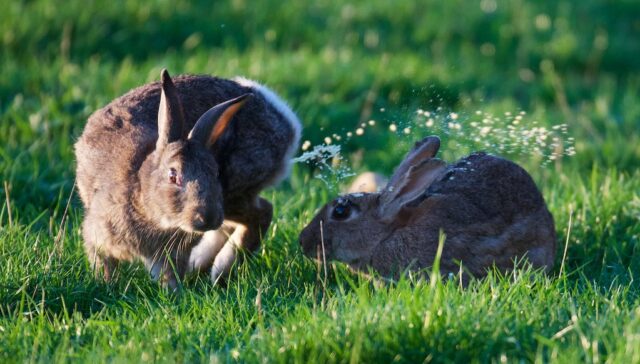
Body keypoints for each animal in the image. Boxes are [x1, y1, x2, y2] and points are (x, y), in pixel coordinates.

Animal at [76, 69, 302, 288]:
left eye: (216, 172)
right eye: (173, 176)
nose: (206, 218)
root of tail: (285, 121)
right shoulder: (99, 238)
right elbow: (104, 264)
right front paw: (105, 285)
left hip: (233, 192)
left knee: (261, 213)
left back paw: (218, 271)